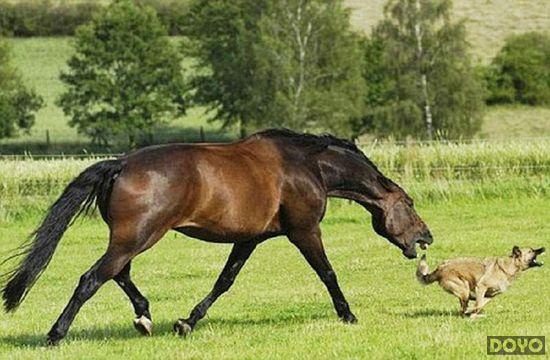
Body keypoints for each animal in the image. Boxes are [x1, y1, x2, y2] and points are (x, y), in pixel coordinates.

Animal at [1, 128, 436, 344]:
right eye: (410, 202)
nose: (426, 238)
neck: (306, 165)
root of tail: (119, 164)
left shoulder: (250, 239)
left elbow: (224, 281)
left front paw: (186, 323)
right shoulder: (304, 231)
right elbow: (328, 273)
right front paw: (348, 315)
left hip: (131, 238)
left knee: (118, 274)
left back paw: (144, 318)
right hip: (137, 236)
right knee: (92, 278)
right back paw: (56, 335)